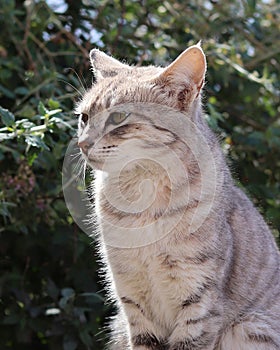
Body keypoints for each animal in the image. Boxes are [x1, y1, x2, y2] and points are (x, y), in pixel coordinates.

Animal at [76, 44, 280, 350]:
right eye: (84, 117)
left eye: (118, 118)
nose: (82, 144)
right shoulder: (132, 300)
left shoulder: (199, 301)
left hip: (250, 326)